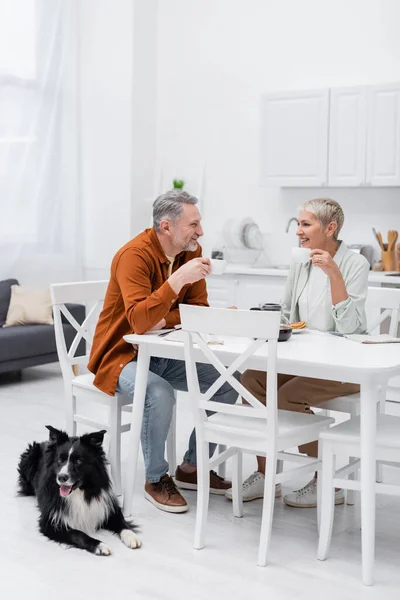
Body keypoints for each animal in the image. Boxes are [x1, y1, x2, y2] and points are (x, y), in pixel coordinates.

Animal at [17, 424, 141, 556]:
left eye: (78, 461)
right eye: (60, 460)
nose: (61, 477)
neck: (79, 493)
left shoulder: (107, 507)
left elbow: (122, 522)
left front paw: (132, 537)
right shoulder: (50, 523)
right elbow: (78, 534)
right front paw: (100, 545)